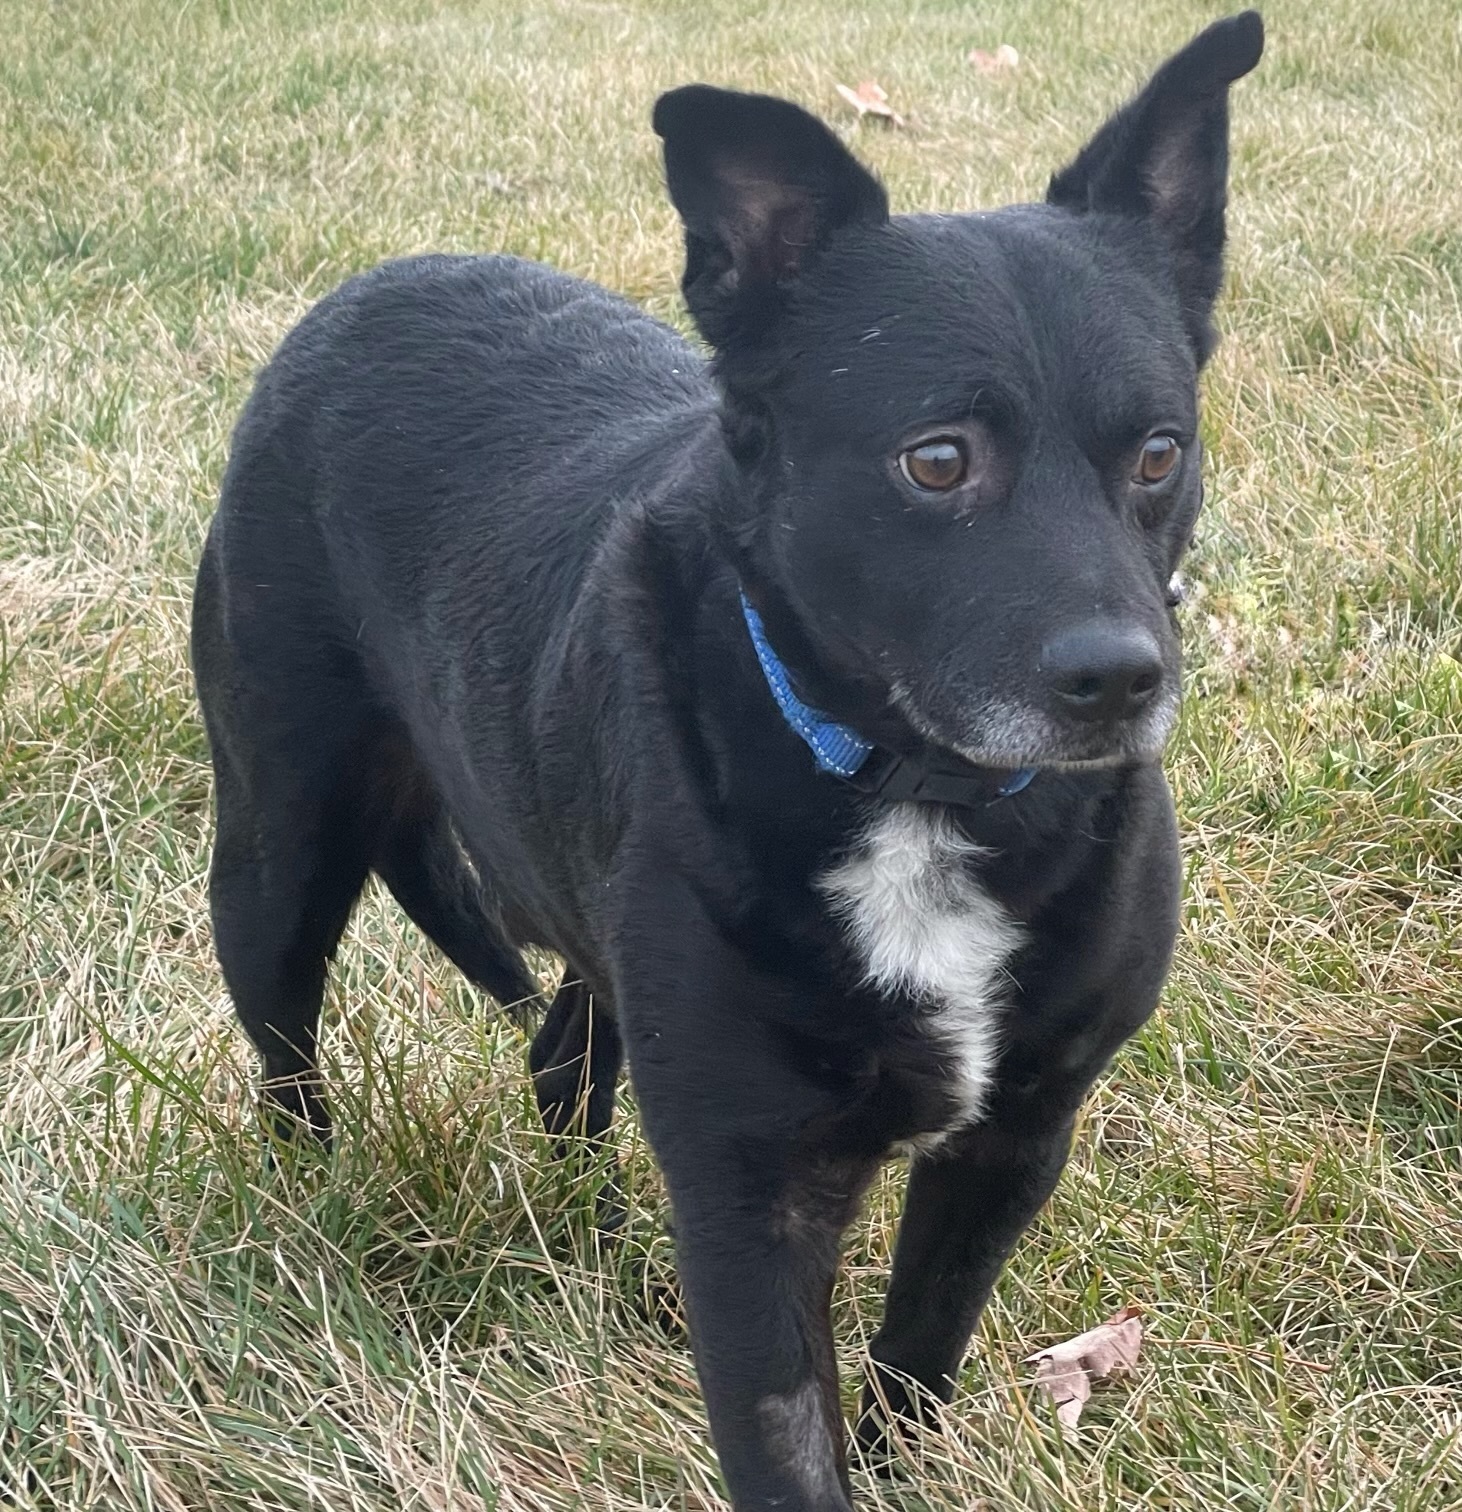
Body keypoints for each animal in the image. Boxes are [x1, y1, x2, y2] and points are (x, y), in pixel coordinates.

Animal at [195, 14, 1263, 1512]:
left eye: (1159, 451)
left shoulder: (1011, 1142)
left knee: (561, 1056)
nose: (1120, 682)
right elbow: (785, 1444)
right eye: (937, 460)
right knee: (285, 1044)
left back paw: (579, 1235)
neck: (912, 794)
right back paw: (316, 1201)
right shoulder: (749, 1194)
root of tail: (371, 288)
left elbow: (915, 1365)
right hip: (281, 842)